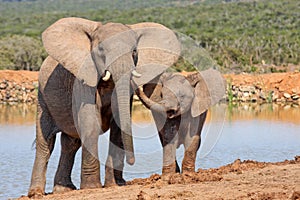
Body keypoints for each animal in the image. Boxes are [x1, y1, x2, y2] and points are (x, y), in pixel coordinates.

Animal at [28, 17, 179, 198]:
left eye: (134, 51)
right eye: (100, 50)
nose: (132, 161)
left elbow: (118, 126)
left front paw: (114, 184)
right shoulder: (83, 76)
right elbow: (90, 122)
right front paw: (92, 187)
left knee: (70, 143)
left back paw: (64, 189)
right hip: (42, 98)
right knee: (45, 143)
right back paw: (36, 193)